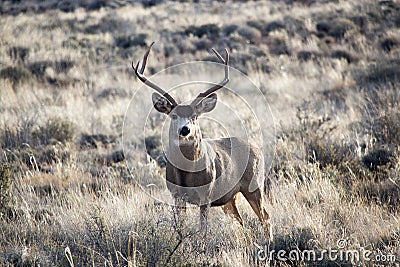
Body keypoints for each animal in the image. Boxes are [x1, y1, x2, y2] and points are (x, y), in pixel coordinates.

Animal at [131, 42, 272, 243]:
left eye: (195, 116)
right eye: (173, 115)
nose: (185, 130)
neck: (187, 174)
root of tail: (256, 148)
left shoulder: (206, 195)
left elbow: (202, 231)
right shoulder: (176, 196)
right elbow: (180, 229)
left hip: (254, 185)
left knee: (265, 217)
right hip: (229, 198)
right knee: (241, 220)